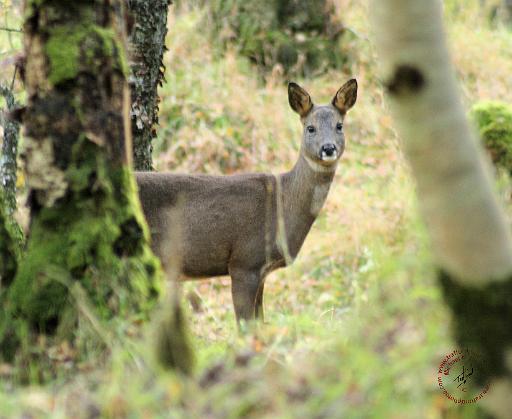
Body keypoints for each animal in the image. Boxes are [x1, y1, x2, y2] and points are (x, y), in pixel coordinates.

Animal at [138, 81, 358, 324]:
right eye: (310, 128)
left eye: (339, 126)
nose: (328, 148)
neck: (281, 203)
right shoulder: (244, 262)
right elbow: (245, 325)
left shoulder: (261, 271)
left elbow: (260, 322)